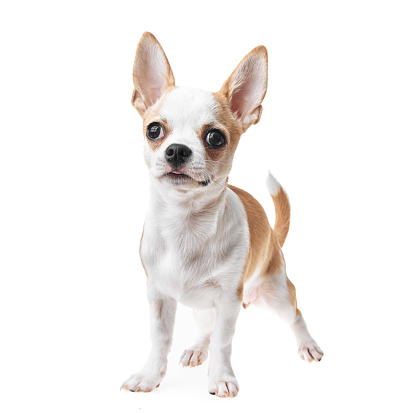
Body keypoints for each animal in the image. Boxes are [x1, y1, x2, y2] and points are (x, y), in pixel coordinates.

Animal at [120, 31, 322, 396]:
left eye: (215, 137)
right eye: (154, 130)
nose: (176, 150)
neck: (185, 225)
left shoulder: (229, 299)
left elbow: (224, 342)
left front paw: (221, 378)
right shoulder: (158, 296)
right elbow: (160, 337)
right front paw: (150, 376)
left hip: (276, 294)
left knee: (296, 315)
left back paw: (307, 344)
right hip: (203, 306)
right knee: (206, 328)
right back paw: (197, 348)